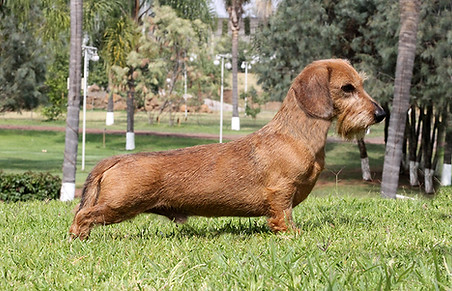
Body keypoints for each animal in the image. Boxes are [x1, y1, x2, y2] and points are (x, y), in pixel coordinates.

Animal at [69, 58, 384, 241]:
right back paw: (78, 239)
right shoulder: (281, 191)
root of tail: (115, 160)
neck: (296, 135)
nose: (381, 114)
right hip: (120, 205)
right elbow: (282, 215)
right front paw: (292, 234)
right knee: (82, 216)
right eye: (347, 88)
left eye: (360, 84)